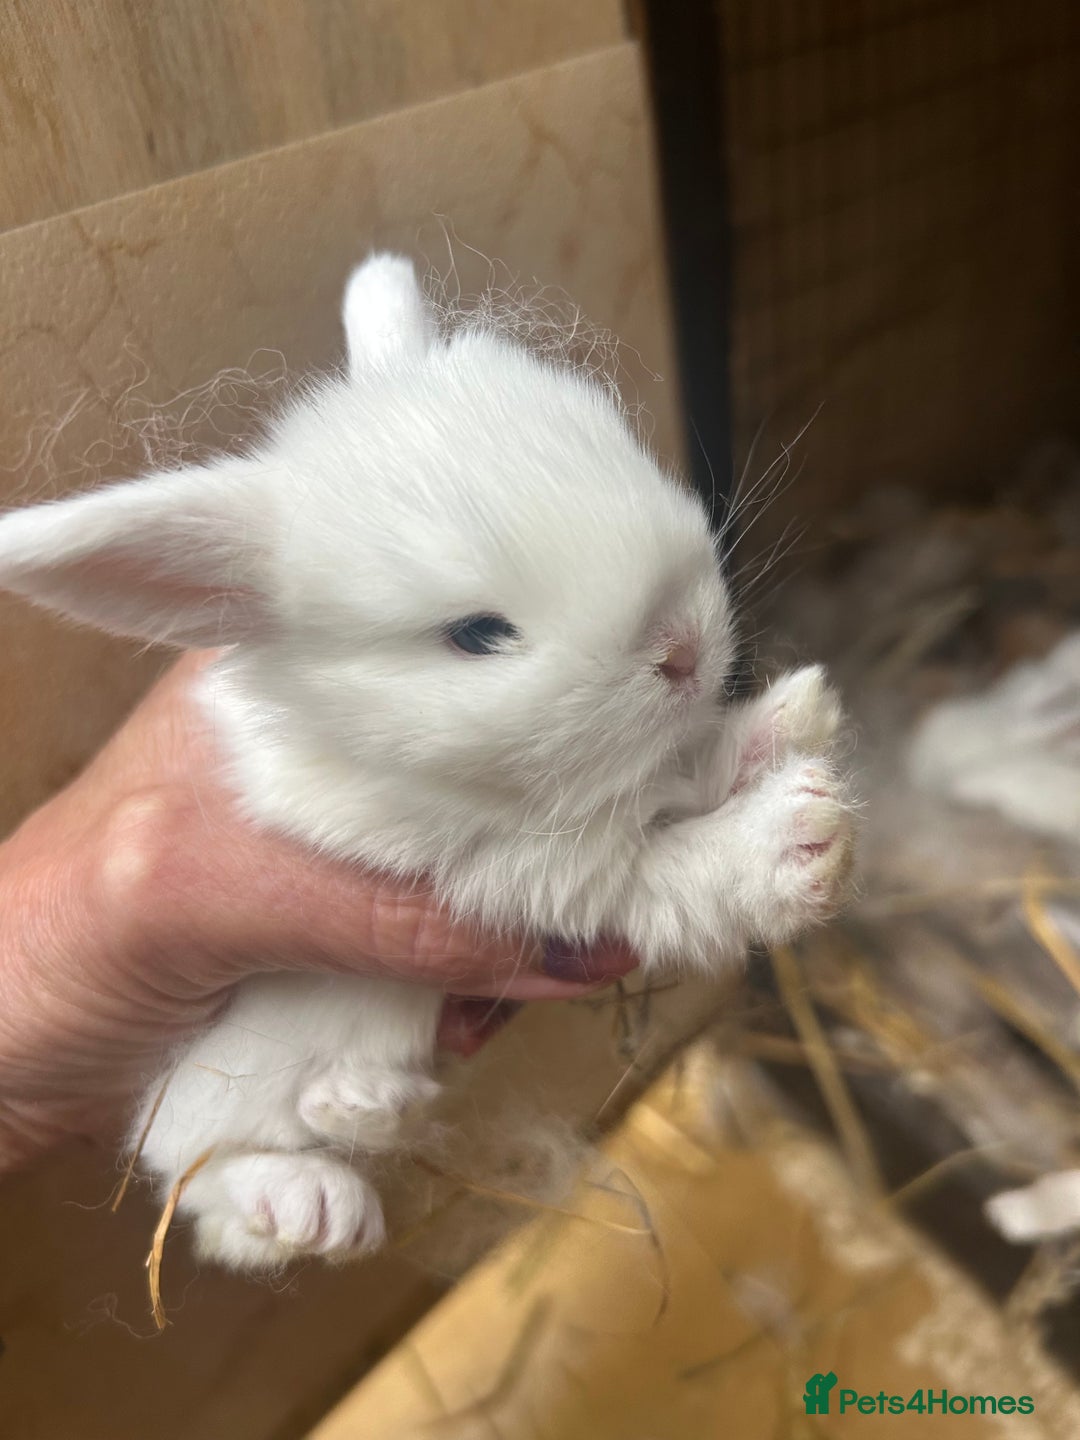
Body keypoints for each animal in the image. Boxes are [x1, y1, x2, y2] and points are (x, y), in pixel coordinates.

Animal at [0, 254, 854, 1269]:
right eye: (476, 635)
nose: (683, 650)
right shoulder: (514, 878)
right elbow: (660, 872)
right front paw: (799, 839)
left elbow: (689, 770)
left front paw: (797, 715)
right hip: (224, 1083)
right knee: (191, 1167)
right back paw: (310, 1201)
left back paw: (365, 1105)